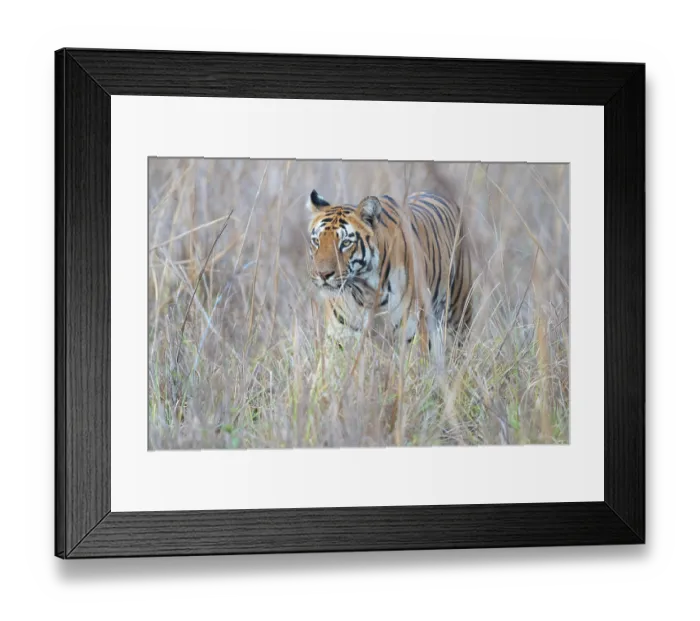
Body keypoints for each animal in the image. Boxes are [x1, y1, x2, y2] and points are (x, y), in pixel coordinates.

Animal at [306, 188, 473, 358]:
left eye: (346, 243)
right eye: (316, 241)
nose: (323, 274)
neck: (364, 291)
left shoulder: (411, 334)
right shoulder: (340, 333)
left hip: (457, 314)